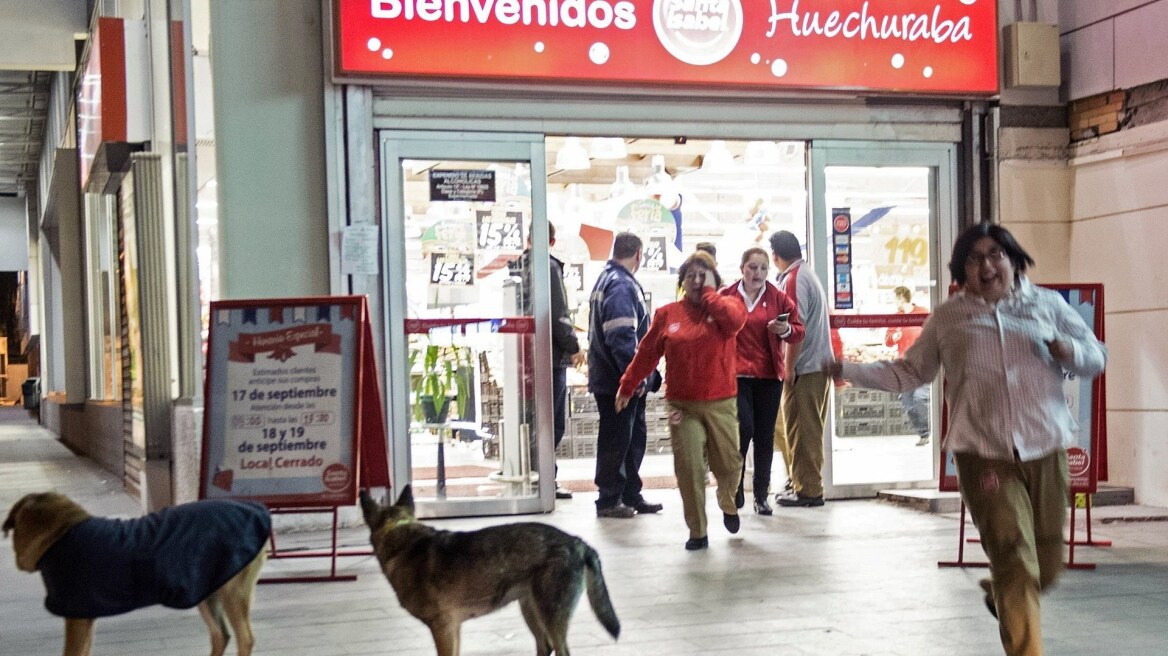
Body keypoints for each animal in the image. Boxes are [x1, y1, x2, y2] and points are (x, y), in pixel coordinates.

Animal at [3, 490, 270, 653]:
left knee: (245, 638)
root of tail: (257, 510)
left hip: (233, 591)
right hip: (206, 589)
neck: (61, 532)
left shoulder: (76, 618)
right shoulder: (84, 618)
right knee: (220, 635)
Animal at [362, 485, 621, 653]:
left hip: (548, 615)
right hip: (531, 610)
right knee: (545, 646)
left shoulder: (443, 629)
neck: (401, 537)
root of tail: (577, 542)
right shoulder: (453, 630)